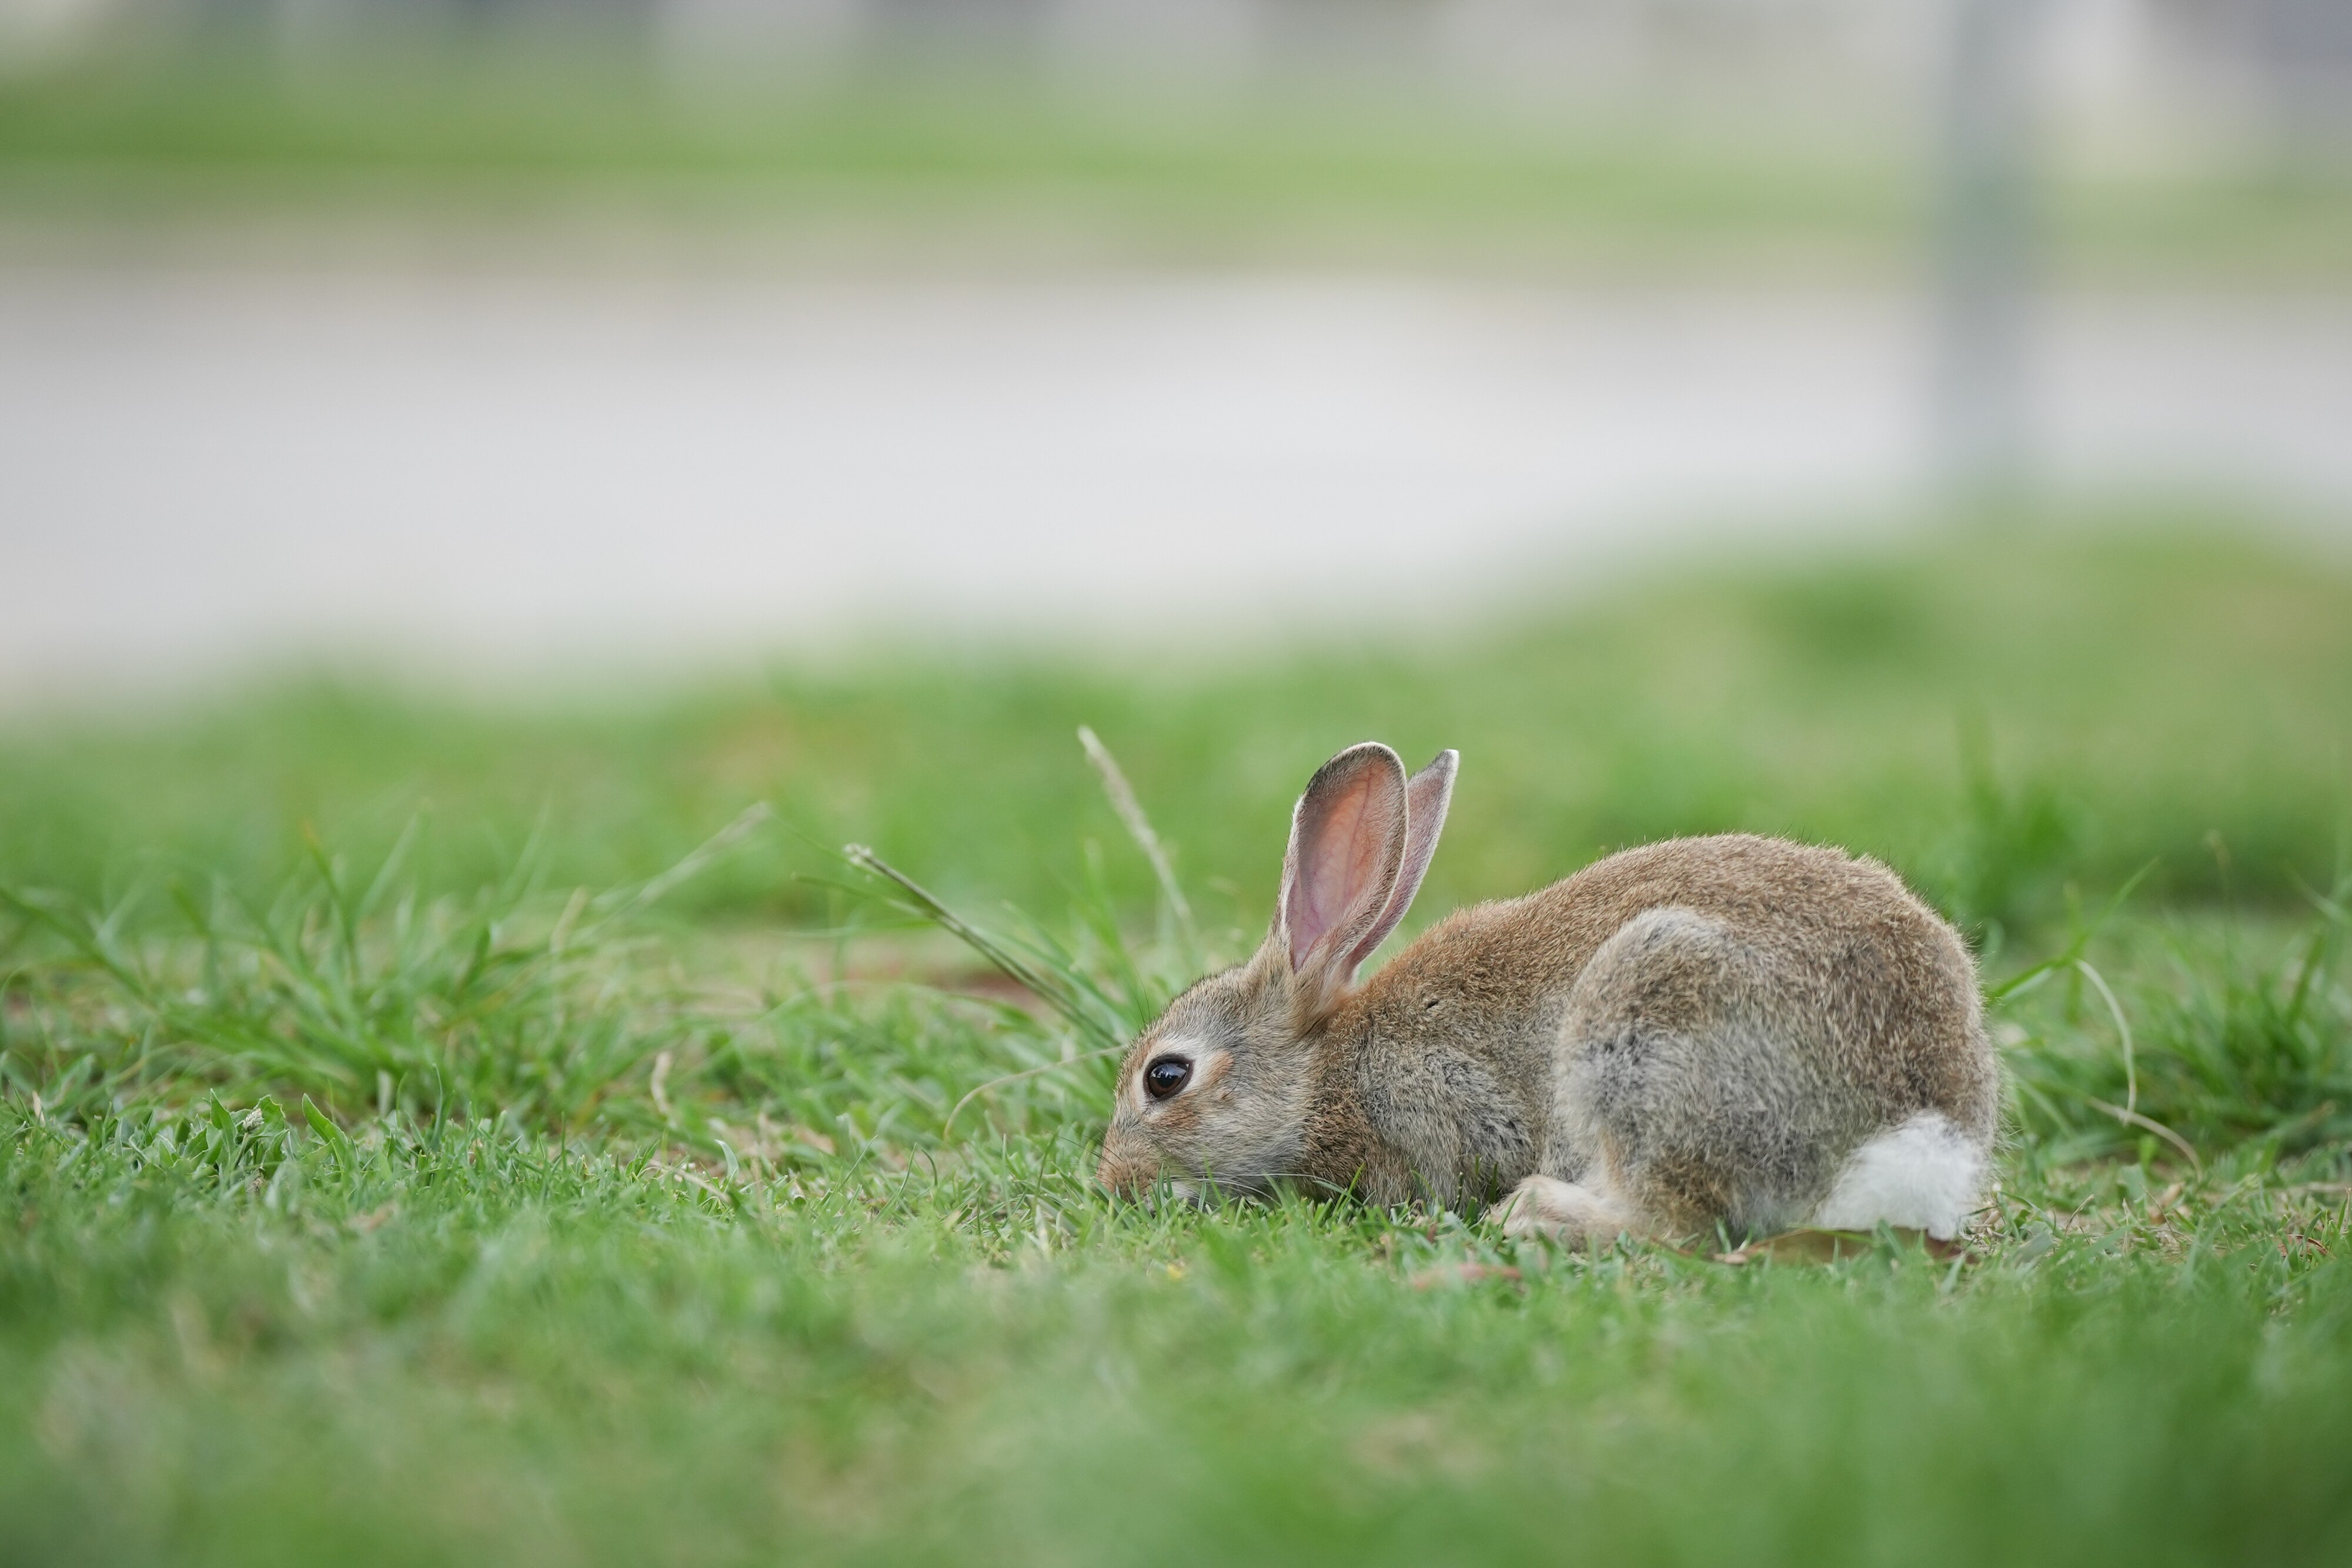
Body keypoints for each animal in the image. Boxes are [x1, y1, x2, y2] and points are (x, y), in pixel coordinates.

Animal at [1096, 742, 1999, 1245]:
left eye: (1166, 1077)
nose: (1110, 1181)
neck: (1324, 1075)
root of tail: (1911, 1138)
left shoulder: (1439, 1095)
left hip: (1646, 1028)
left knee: (1678, 1221)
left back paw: (1534, 1214)